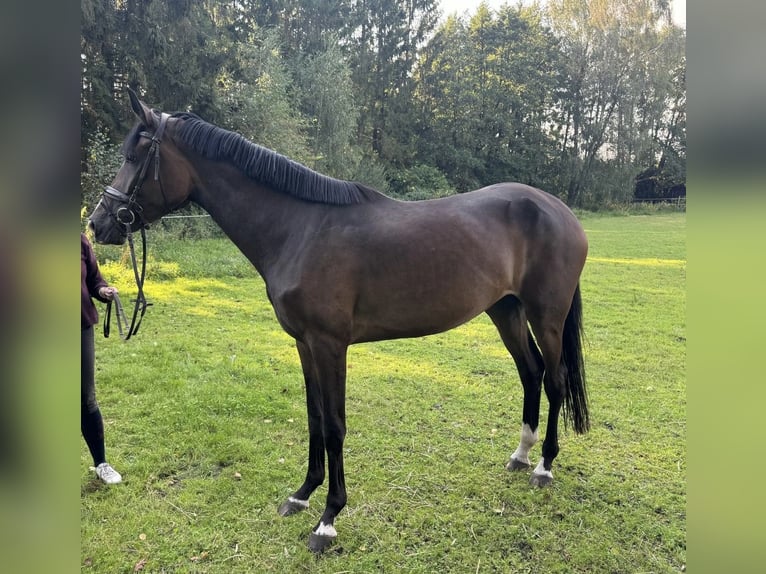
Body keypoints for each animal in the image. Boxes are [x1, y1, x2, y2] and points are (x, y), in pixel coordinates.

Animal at [90, 91, 592, 560]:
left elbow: (334, 426)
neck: (300, 229)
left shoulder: (330, 344)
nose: (98, 224)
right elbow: (314, 418)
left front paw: (328, 519)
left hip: (546, 316)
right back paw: (521, 455)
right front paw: (301, 495)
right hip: (505, 311)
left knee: (555, 380)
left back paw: (545, 466)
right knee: (531, 373)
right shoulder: (304, 344)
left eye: (134, 156)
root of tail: (560, 211)